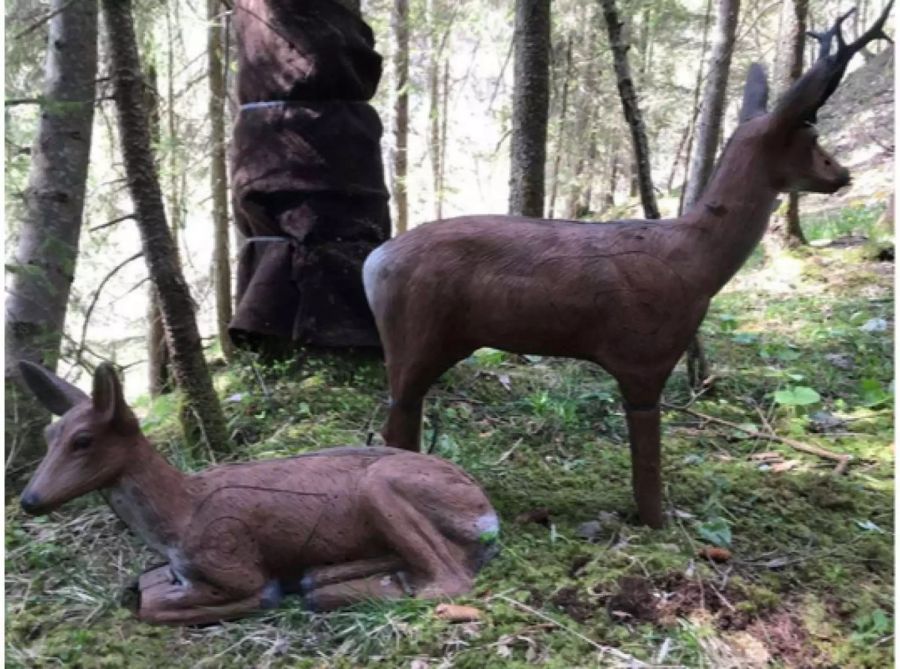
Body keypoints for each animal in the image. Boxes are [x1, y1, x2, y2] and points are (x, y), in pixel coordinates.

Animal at [15, 362, 500, 624]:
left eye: (83, 441)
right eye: (48, 435)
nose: (29, 500)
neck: (178, 518)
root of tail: (487, 509)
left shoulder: (232, 556)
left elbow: (167, 603)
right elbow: (147, 585)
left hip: (381, 486)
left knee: (449, 580)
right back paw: (328, 578)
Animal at [366, 6, 892, 528]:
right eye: (810, 135)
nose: (842, 173)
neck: (695, 262)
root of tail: (373, 263)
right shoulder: (643, 352)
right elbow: (648, 459)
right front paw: (659, 525)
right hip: (416, 332)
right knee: (397, 417)